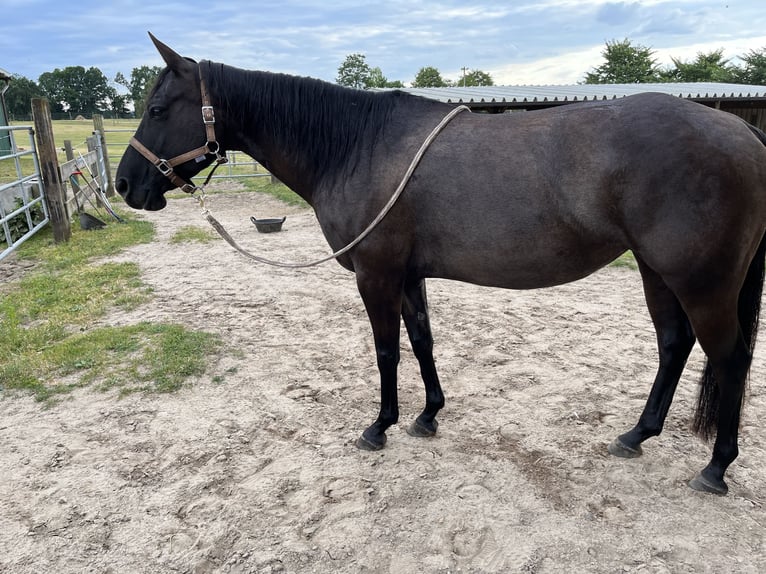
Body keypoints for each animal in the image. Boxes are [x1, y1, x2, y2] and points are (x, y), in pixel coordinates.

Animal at [117, 36, 766, 498]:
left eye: (157, 108)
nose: (125, 184)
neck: (358, 146)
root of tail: (744, 132)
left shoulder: (376, 275)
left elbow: (386, 349)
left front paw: (379, 426)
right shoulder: (408, 276)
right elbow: (423, 340)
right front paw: (428, 416)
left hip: (701, 283)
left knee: (729, 357)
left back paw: (715, 467)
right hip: (658, 273)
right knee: (674, 344)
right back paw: (636, 436)